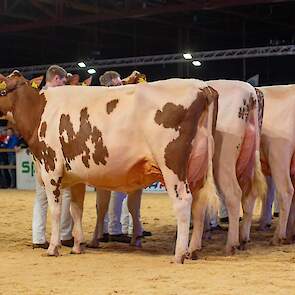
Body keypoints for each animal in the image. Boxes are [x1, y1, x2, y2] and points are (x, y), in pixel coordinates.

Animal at [0, 71, 217, 264]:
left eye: (2, 90)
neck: (40, 110)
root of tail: (201, 86)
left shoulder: (50, 168)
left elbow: (56, 210)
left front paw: (54, 248)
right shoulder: (76, 176)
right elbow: (76, 209)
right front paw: (78, 246)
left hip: (172, 164)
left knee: (183, 202)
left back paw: (179, 254)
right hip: (198, 168)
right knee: (199, 204)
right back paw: (193, 250)